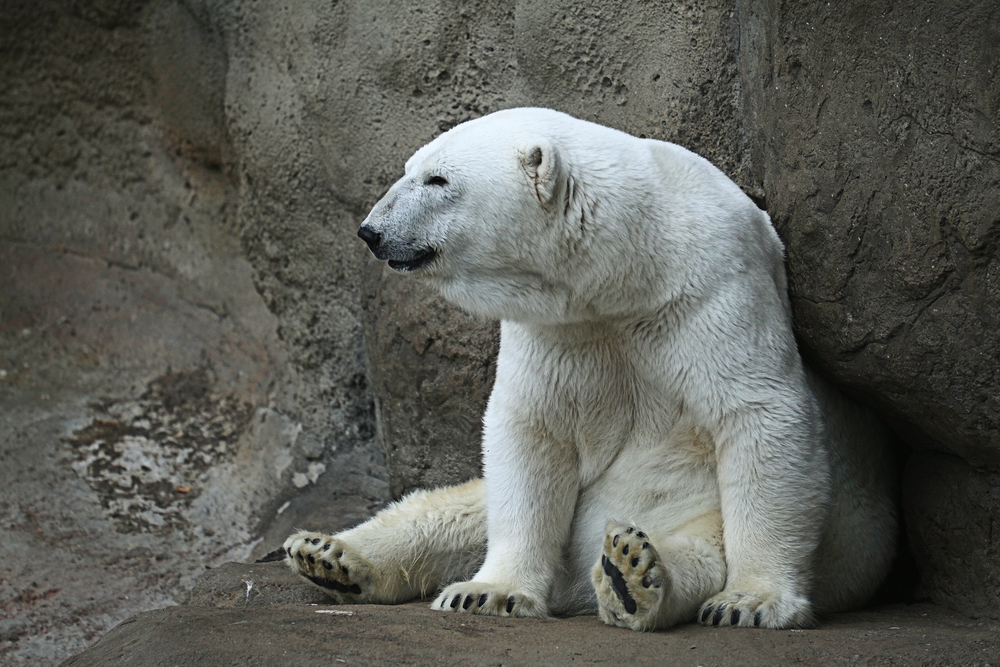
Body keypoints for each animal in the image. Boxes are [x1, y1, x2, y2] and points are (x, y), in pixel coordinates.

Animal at [286, 108, 904, 632]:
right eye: (409, 169)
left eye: (437, 180)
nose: (371, 230)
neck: (632, 272)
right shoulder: (560, 329)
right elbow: (531, 434)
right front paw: (488, 592)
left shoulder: (716, 286)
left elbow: (760, 412)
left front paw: (752, 601)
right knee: (451, 510)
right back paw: (329, 555)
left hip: (698, 512)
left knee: (697, 550)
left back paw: (629, 573)